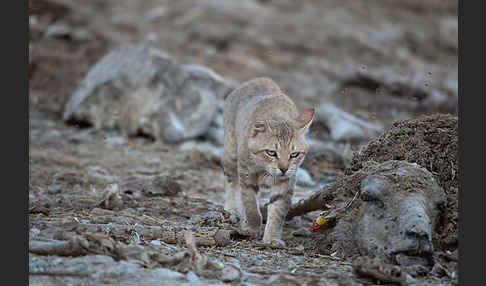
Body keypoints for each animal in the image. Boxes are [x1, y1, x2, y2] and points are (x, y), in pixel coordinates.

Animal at [223, 77, 316, 247]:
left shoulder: (286, 181)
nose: (283, 169)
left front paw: (272, 238)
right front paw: (252, 228)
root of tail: (259, 79)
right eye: (271, 153)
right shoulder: (246, 173)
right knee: (231, 181)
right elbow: (250, 204)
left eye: (294, 154)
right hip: (231, 152)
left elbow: (278, 210)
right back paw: (231, 210)